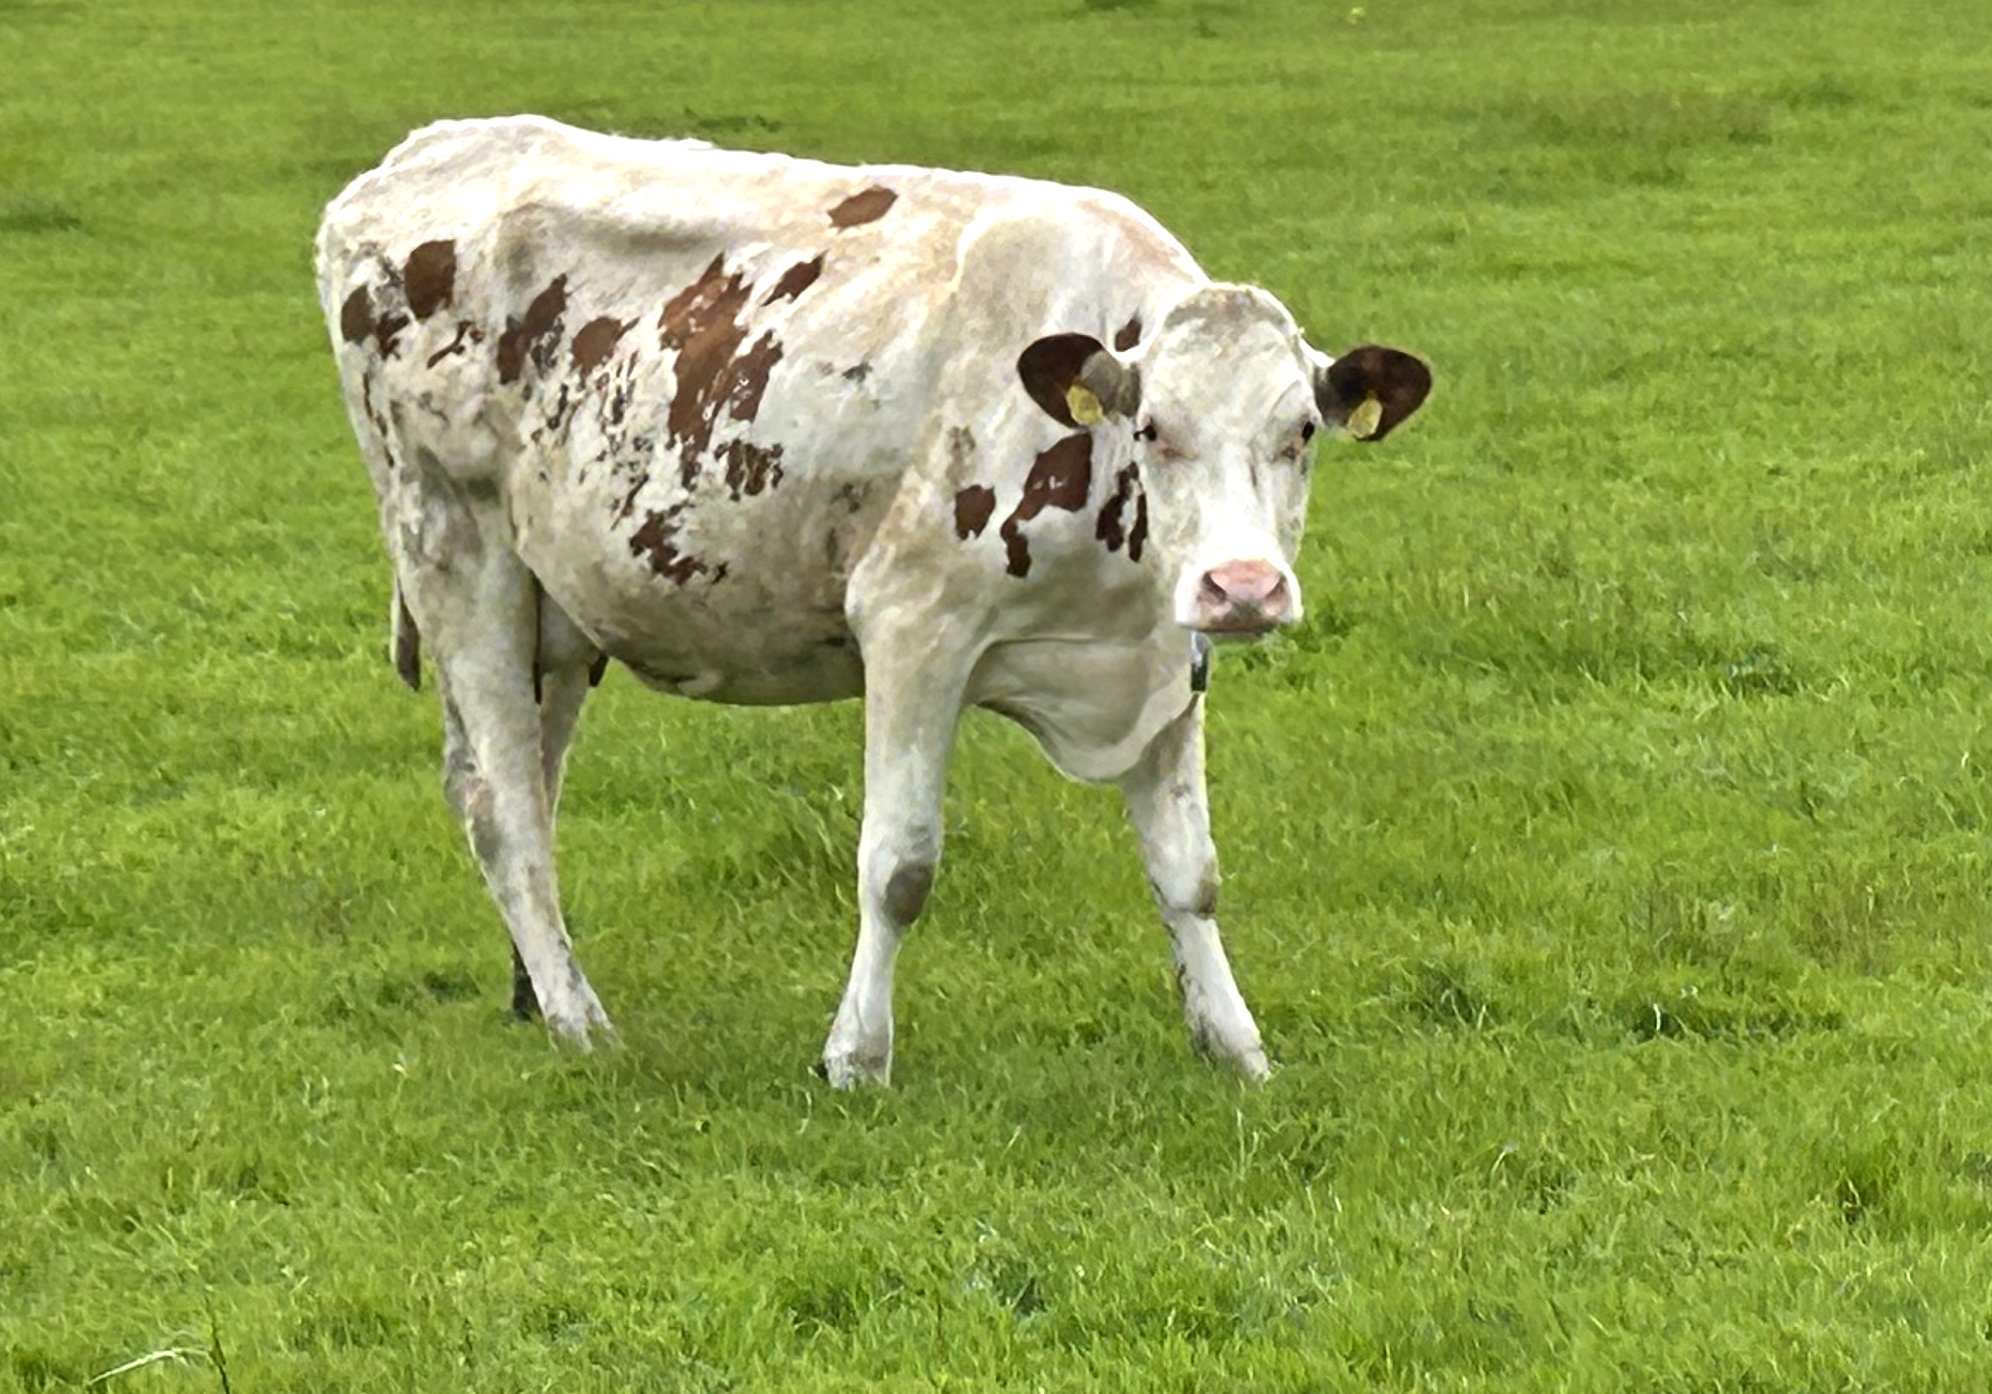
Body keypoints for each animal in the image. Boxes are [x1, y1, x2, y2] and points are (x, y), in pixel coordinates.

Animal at [314, 116, 1430, 1087]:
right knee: (503, 805)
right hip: (456, 546)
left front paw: (1236, 1048)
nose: (1243, 587)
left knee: (522, 791)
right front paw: (856, 1057)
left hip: (553, 608)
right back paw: (581, 1021)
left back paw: (537, 994)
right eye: (1154, 427)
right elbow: (899, 865)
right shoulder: (913, 623)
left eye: (1301, 432)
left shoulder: (1162, 659)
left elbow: (1190, 872)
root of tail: (415, 157)